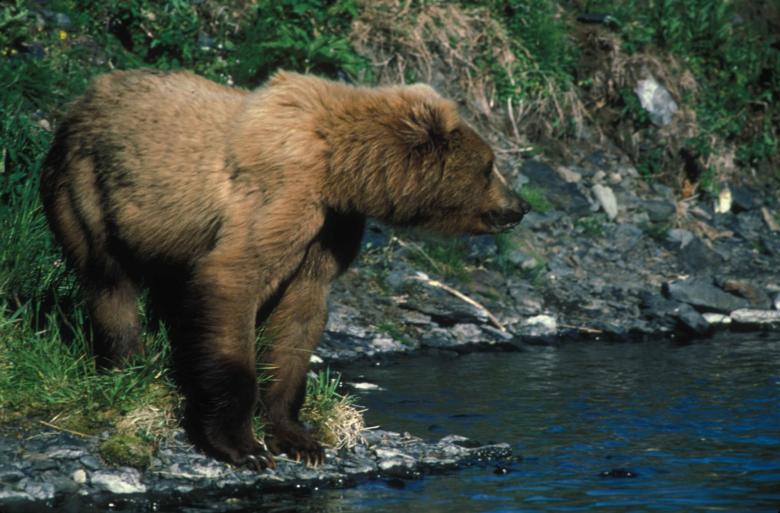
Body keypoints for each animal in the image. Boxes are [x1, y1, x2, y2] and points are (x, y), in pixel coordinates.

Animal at [40, 69, 529, 469]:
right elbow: (234, 280)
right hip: (87, 189)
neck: (341, 171)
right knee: (109, 282)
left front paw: (297, 439)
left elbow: (299, 317)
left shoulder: (330, 228)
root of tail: (80, 99)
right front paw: (243, 446)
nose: (520, 206)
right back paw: (129, 363)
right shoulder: (283, 198)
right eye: (490, 166)